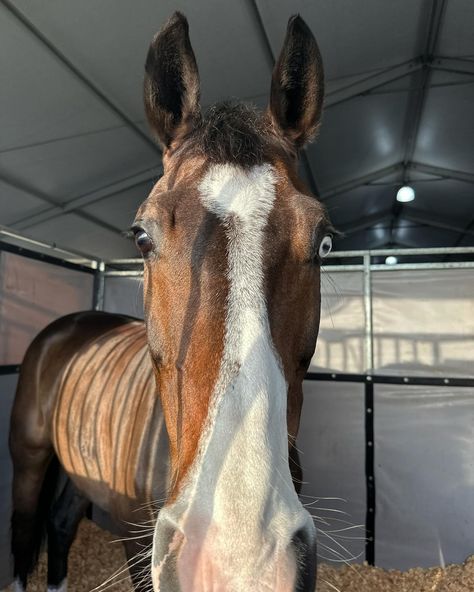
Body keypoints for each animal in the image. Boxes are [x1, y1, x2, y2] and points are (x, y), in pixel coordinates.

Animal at [8, 10, 334, 592]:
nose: (240, 561)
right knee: (26, 535)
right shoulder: (137, 546)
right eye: (141, 236)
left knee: (61, 522)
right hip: (30, 460)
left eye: (323, 242)